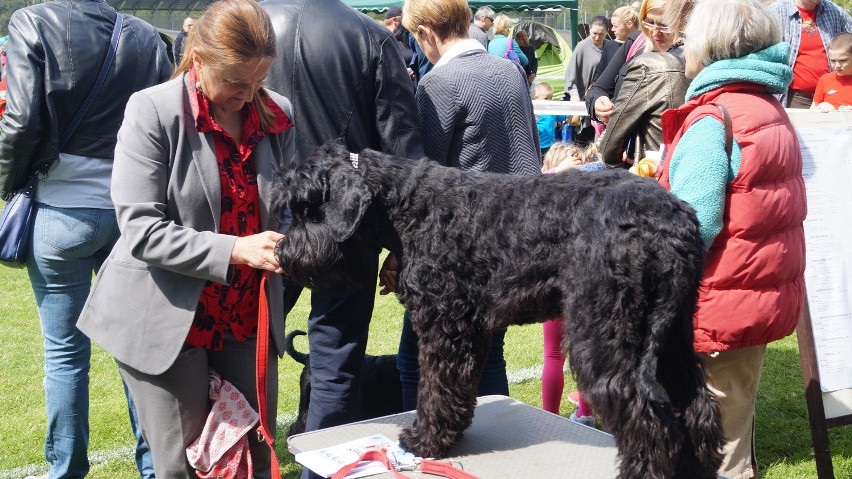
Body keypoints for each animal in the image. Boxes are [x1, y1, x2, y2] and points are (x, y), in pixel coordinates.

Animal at [274, 141, 724, 478]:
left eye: (306, 206)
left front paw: (424, 441)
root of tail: (673, 223)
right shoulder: (468, 331)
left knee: (646, 417)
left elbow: (434, 386)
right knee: (697, 407)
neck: (407, 207)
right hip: (670, 337)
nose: (283, 254)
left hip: (606, 338)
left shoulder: (443, 326)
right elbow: (454, 389)